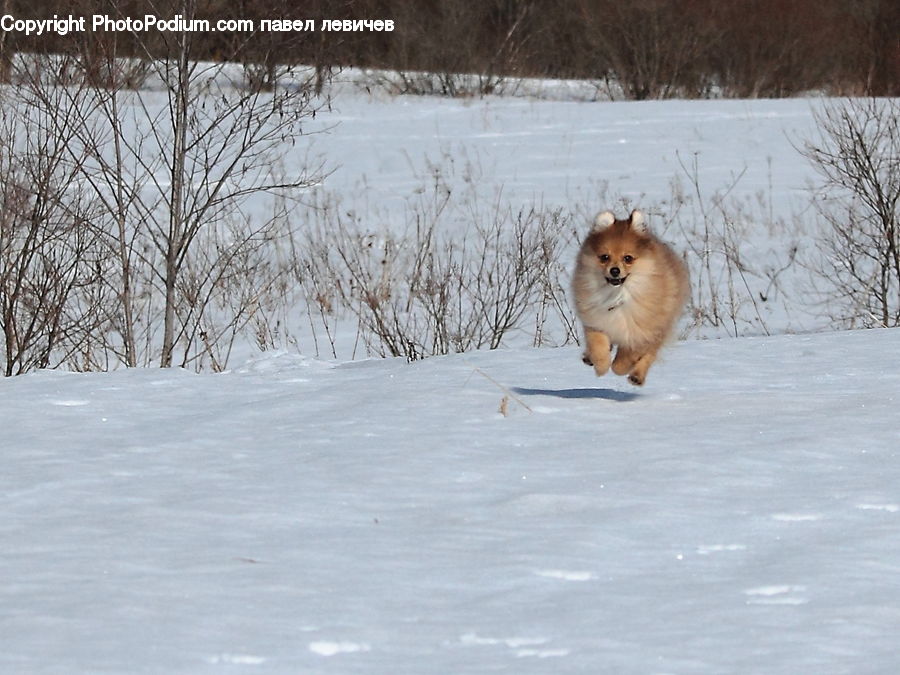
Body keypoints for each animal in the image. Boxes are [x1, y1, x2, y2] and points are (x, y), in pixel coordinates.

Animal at [571, 209, 689, 386]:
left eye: (628, 258)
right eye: (604, 257)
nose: (614, 270)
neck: (619, 294)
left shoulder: (643, 331)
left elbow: (628, 355)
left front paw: (619, 367)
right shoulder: (597, 320)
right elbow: (598, 345)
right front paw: (601, 366)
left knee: (650, 355)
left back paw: (636, 376)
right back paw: (589, 358)